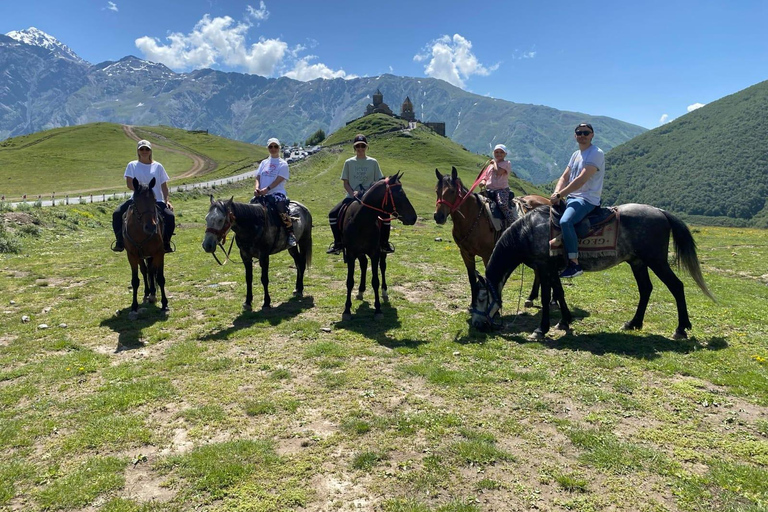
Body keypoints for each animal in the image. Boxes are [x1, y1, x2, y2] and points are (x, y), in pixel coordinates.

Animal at [122, 178, 167, 318]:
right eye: (136, 202)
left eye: (154, 200)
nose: (151, 227)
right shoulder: (131, 255)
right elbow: (135, 281)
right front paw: (134, 307)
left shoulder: (159, 253)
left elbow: (160, 278)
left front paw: (164, 304)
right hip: (141, 257)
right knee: (144, 271)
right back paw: (148, 293)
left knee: (151, 271)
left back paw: (152, 294)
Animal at [340, 174, 416, 322]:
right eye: (400, 194)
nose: (414, 217)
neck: (361, 222)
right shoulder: (351, 254)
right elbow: (349, 281)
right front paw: (346, 310)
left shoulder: (375, 253)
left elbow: (375, 281)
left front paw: (378, 310)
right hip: (360, 253)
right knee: (364, 264)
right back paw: (360, 291)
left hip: (382, 251)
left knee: (382, 267)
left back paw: (384, 292)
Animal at [432, 168, 552, 310]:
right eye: (437, 191)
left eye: (452, 191)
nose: (438, 216)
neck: (472, 217)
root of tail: (547, 201)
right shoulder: (466, 254)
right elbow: (472, 279)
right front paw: (473, 304)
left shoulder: (487, 254)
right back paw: (531, 298)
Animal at [472, 204, 716, 340]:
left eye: (483, 297)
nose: (477, 325)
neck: (528, 231)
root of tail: (661, 212)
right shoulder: (553, 270)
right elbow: (559, 293)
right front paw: (565, 322)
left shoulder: (544, 267)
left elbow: (546, 297)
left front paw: (541, 329)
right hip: (637, 262)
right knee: (646, 289)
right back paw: (633, 323)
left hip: (656, 261)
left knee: (676, 286)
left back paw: (681, 329)